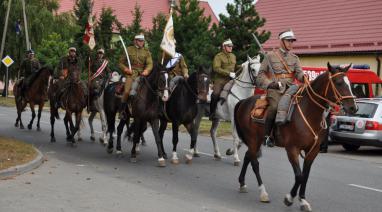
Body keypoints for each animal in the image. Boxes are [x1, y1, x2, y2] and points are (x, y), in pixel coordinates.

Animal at [233, 62, 358, 210]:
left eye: (350, 83)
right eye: (338, 82)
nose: (353, 108)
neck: (309, 112)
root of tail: (244, 101)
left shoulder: (312, 151)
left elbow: (305, 175)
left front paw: (302, 200)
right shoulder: (292, 149)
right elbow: (299, 176)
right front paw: (289, 198)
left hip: (255, 141)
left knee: (248, 156)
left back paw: (242, 183)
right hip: (253, 139)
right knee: (255, 163)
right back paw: (263, 193)